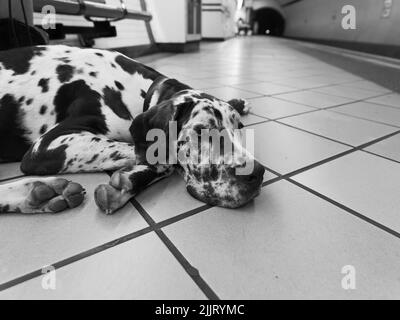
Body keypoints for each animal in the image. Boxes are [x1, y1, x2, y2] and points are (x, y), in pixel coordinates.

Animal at [0, 45, 266, 214]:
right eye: (201, 131)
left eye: (240, 128)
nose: (257, 173)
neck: (138, 89)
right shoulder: (44, 148)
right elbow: (161, 159)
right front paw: (124, 185)